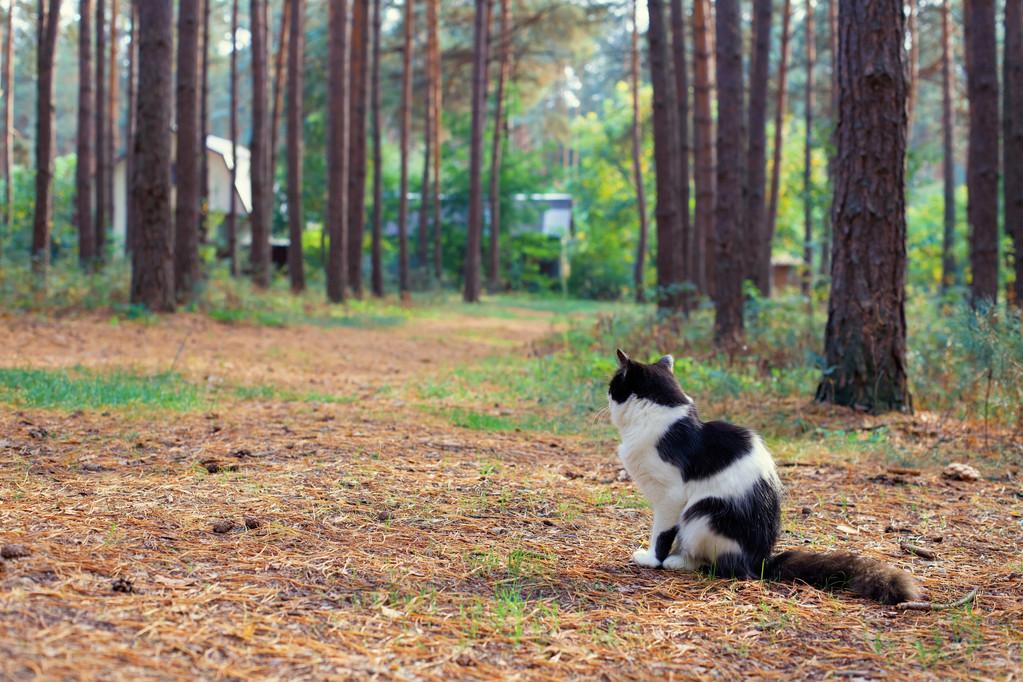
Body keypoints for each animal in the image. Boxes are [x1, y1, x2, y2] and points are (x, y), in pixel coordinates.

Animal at [605, 351, 920, 601]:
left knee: (726, 567)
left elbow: (660, 534)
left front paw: (651, 559)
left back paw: (678, 562)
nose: (605, 396)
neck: (659, 416)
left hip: (701, 513)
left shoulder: (670, 496)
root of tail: (763, 560)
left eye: (614, 385)